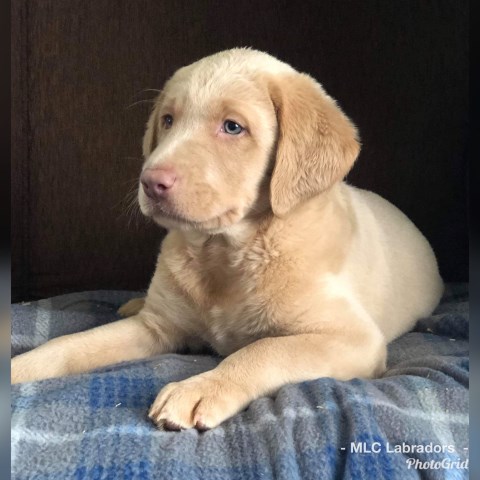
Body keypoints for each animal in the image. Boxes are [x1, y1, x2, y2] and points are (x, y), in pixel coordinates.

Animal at [10, 48, 442, 432]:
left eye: (233, 127)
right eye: (168, 120)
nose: (149, 182)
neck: (223, 251)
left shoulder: (352, 338)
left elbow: (264, 349)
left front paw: (202, 387)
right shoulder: (156, 328)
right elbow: (71, 344)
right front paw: (21, 367)